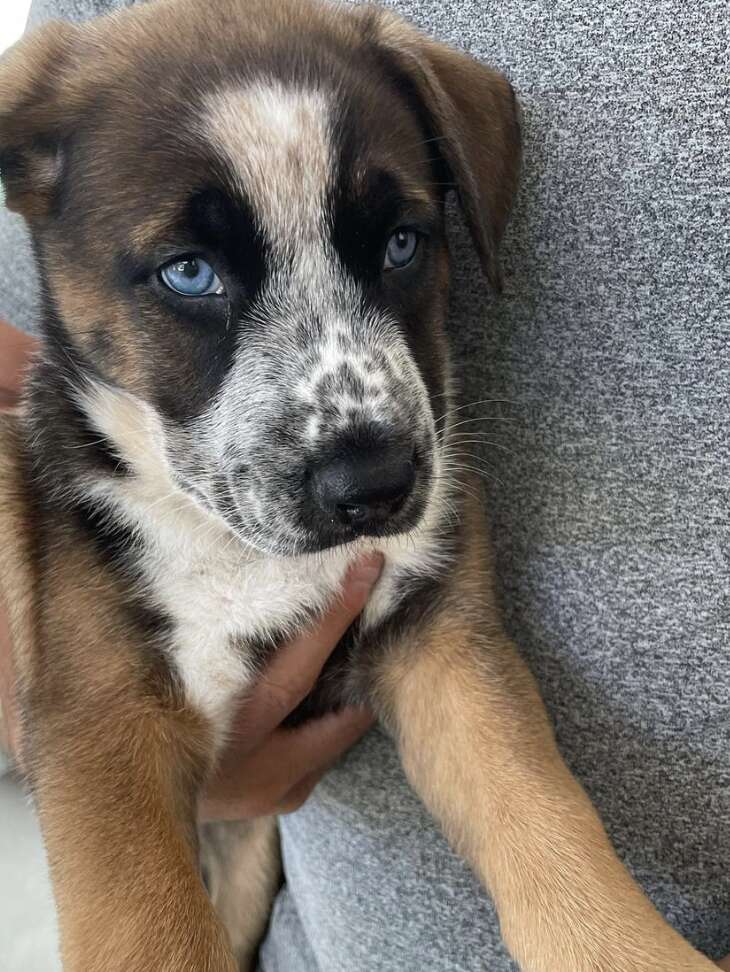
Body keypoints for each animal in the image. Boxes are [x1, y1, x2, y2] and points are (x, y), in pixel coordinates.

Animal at [0, 1, 712, 972]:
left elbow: (546, 817)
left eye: (403, 244)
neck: (247, 553)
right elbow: (153, 933)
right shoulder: (101, 725)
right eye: (189, 272)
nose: (376, 485)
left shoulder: (442, 640)